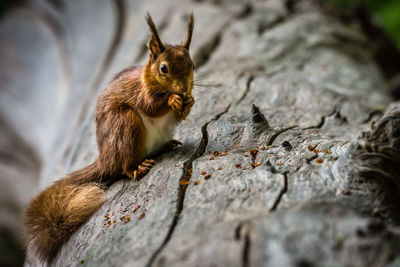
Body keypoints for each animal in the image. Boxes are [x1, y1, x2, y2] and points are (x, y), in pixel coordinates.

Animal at [23, 13, 195, 266]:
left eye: (193, 65)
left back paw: (167, 145)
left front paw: (189, 101)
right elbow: (150, 106)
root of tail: (106, 159)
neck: (149, 78)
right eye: (163, 68)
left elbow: (181, 114)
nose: (183, 89)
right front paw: (172, 100)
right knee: (124, 167)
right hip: (124, 123)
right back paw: (136, 167)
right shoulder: (139, 92)